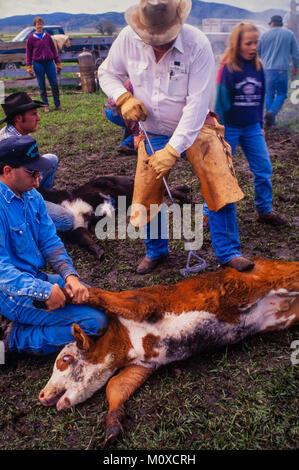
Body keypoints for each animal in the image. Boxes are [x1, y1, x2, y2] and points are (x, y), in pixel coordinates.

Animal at [38, 258, 298, 442]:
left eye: (65, 359)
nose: (41, 395)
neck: (125, 340)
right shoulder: (143, 365)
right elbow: (115, 386)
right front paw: (112, 424)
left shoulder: (145, 303)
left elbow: (98, 294)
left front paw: (68, 292)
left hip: (288, 278)